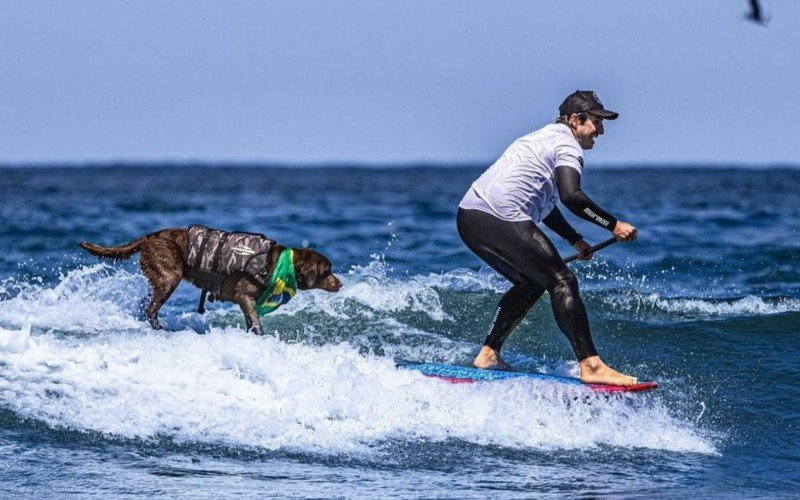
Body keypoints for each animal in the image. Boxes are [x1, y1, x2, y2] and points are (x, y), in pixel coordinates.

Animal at [79, 229, 342, 334]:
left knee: (146, 303)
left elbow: (251, 322)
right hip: (169, 277)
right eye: (327, 271)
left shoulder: (245, 303)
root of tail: (151, 236)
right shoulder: (245, 297)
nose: (340, 284)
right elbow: (257, 323)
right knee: (151, 307)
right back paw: (159, 328)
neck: (281, 264)